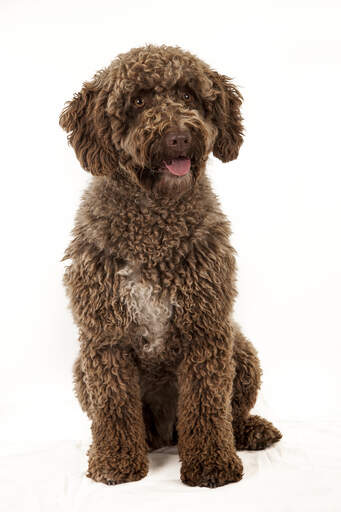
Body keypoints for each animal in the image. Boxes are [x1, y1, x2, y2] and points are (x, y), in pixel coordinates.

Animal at [59, 44, 280, 488]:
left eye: (188, 95)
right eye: (138, 101)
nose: (178, 135)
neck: (154, 220)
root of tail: (165, 434)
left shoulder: (206, 330)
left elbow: (208, 406)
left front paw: (212, 464)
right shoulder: (105, 337)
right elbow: (113, 406)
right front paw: (115, 462)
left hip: (241, 349)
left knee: (231, 413)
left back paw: (250, 430)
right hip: (80, 369)